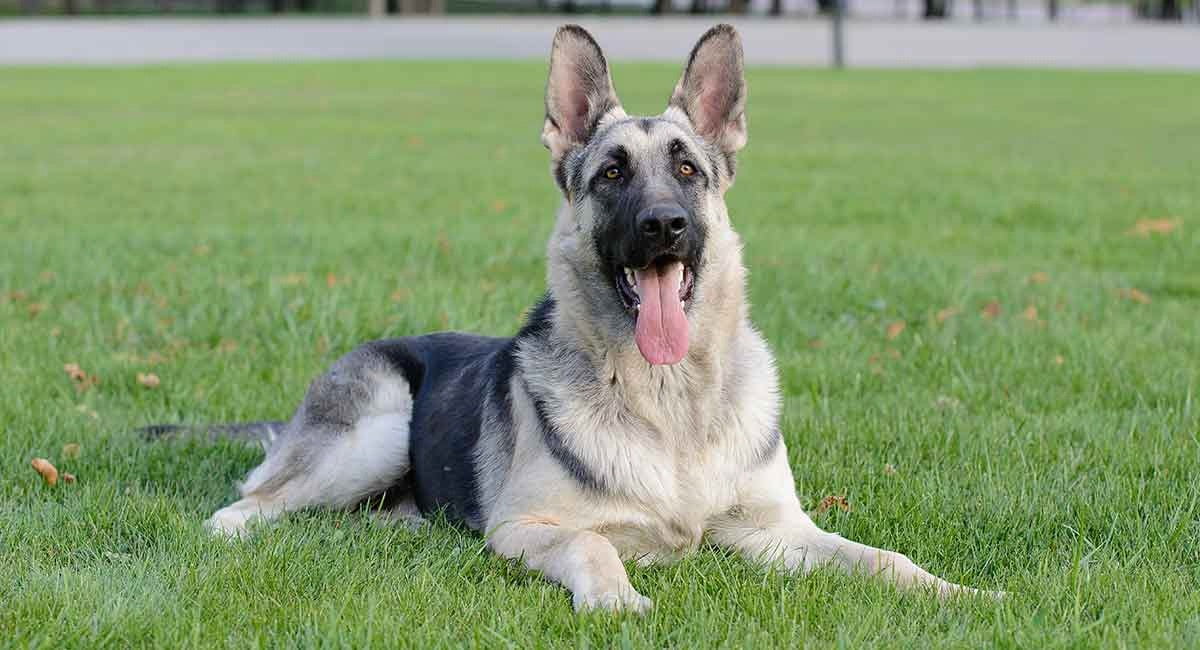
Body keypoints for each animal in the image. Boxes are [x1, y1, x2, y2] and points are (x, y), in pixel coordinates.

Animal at [152, 24, 993, 618]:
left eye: (687, 169)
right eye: (612, 173)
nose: (663, 226)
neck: (669, 403)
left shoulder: (777, 533)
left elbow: (883, 559)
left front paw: (960, 594)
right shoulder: (524, 529)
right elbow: (593, 541)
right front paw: (617, 597)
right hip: (376, 428)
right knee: (242, 507)